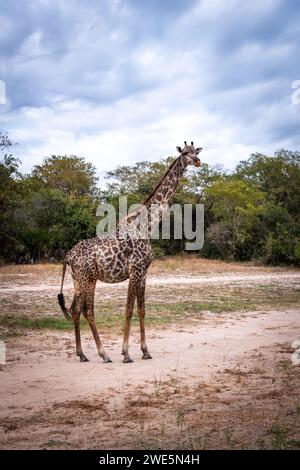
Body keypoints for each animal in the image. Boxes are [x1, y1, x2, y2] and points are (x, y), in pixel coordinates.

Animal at [57, 142, 203, 364]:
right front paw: (126, 353)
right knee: (88, 311)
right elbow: (128, 310)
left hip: (78, 280)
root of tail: (68, 256)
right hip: (88, 278)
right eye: (185, 153)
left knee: (75, 310)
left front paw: (145, 351)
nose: (197, 161)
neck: (146, 227)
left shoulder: (144, 273)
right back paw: (104, 354)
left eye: (196, 151)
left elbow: (141, 310)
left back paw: (82, 354)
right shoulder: (134, 270)